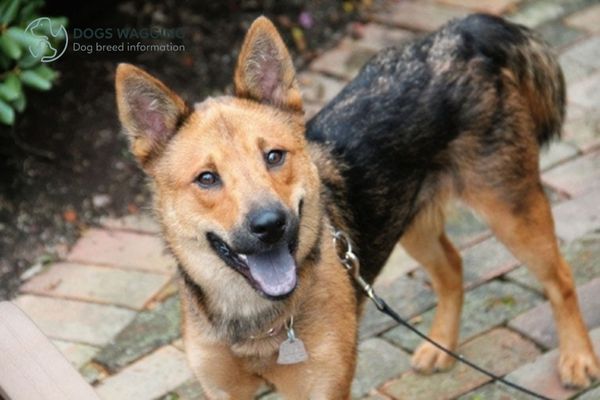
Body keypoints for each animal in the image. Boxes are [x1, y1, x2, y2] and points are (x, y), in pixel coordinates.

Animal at [115, 14, 596, 398]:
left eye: (274, 156)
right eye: (207, 179)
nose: (270, 225)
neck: (256, 320)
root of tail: (460, 33)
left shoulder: (322, 388)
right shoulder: (222, 390)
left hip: (510, 208)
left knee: (560, 278)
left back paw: (578, 358)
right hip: (409, 217)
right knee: (453, 268)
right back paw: (440, 346)